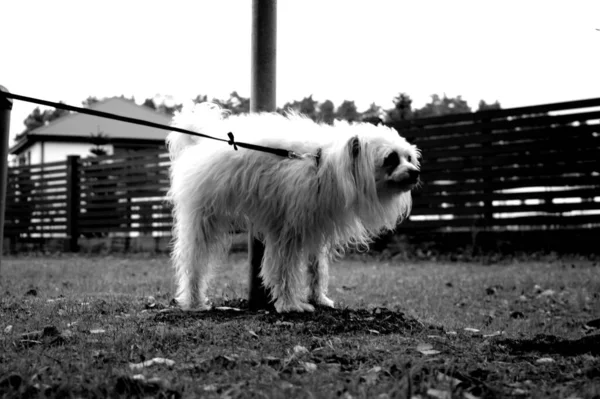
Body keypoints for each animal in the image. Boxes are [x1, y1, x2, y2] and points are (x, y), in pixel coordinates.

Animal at [166, 104, 420, 314]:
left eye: (408, 157)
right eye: (391, 158)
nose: (416, 172)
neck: (326, 165)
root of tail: (199, 143)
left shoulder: (314, 228)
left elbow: (317, 270)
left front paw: (318, 298)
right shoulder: (288, 232)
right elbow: (285, 270)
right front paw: (290, 304)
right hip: (202, 223)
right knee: (193, 263)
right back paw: (194, 301)